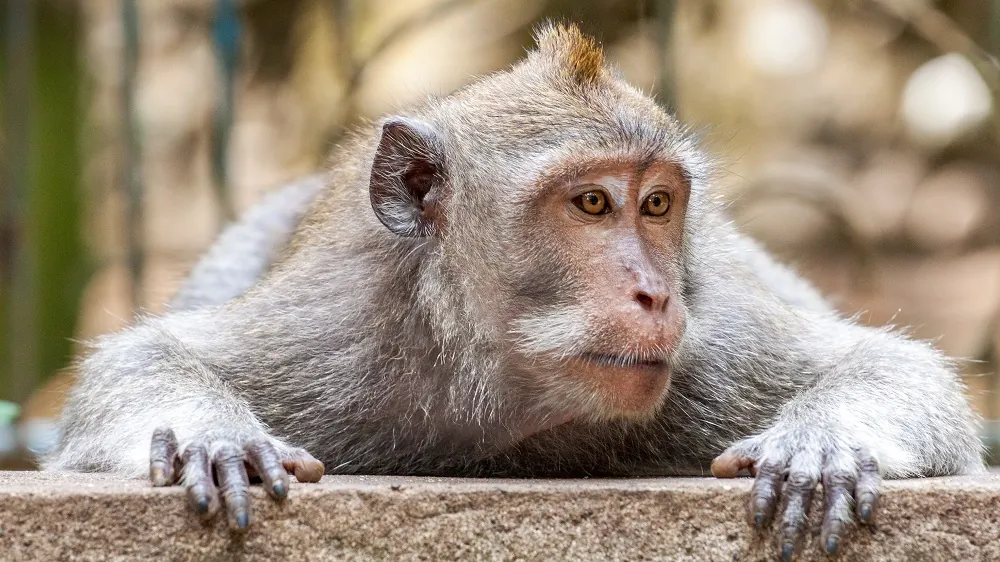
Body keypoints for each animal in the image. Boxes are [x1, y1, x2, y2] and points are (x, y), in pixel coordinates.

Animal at [45, 22, 983, 560]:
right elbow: (140, 359)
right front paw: (216, 439)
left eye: (657, 204)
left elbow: (898, 369)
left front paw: (821, 446)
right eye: (592, 203)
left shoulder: (715, 348)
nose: (655, 295)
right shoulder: (339, 339)